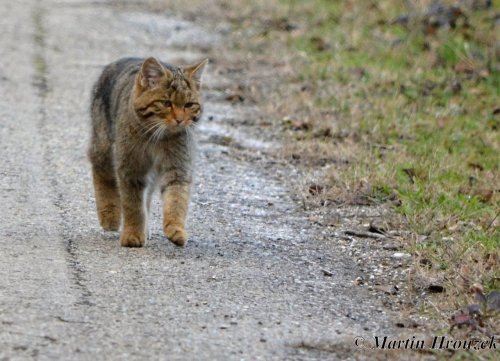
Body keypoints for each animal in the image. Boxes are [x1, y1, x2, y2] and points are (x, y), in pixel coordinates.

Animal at [88, 57, 207, 248]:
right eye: (166, 103)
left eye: (188, 105)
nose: (180, 120)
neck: (158, 138)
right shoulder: (130, 168)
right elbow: (133, 205)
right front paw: (133, 234)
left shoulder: (178, 168)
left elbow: (176, 201)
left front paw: (176, 229)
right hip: (104, 146)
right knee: (101, 173)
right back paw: (109, 215)